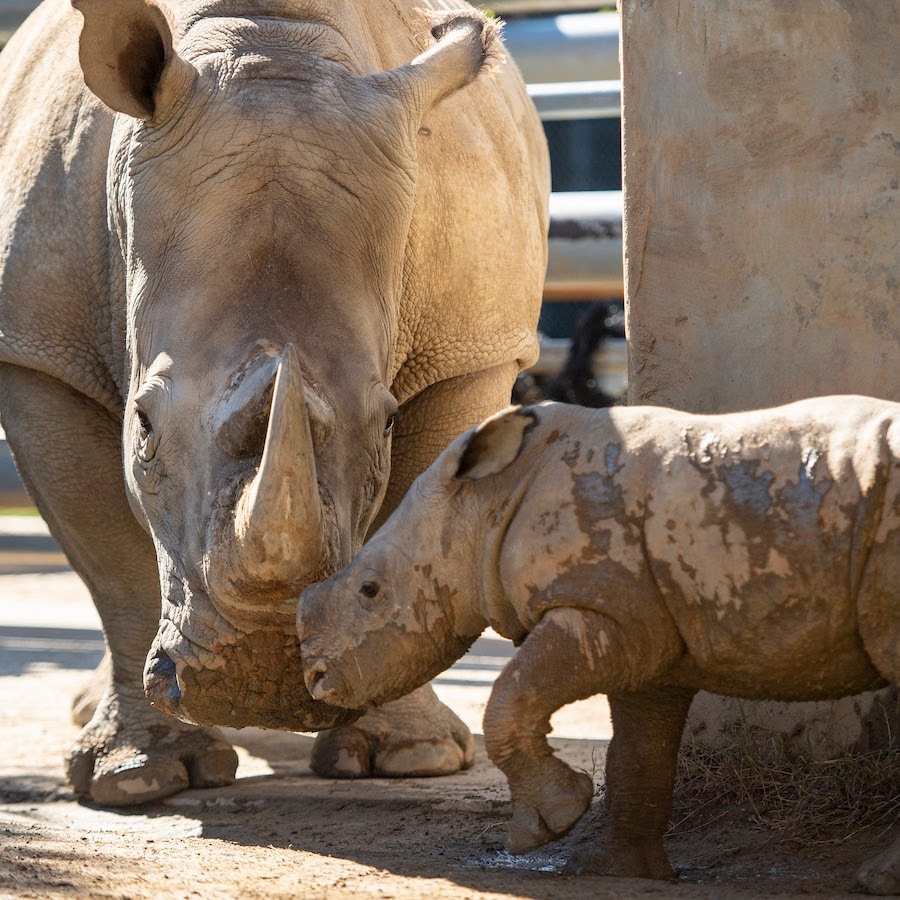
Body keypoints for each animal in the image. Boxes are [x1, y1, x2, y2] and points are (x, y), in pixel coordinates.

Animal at [0, 0, 548, 804]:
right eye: (143, 426)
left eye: (387, 426)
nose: (256, 687)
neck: (273, 40)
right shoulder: (38, 348)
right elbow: (111, 562)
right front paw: (140, 780)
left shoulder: (471, 346)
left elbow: (416, 525)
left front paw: (407, 758)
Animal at [298, 398, 900, 888]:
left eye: (370, 590)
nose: (315, 678)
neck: (485, 505)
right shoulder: (648, 634)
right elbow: (637, 748)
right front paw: (609, 870)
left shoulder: (599, 611)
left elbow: (509, 699)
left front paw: (549, 826)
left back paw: (874, 880)